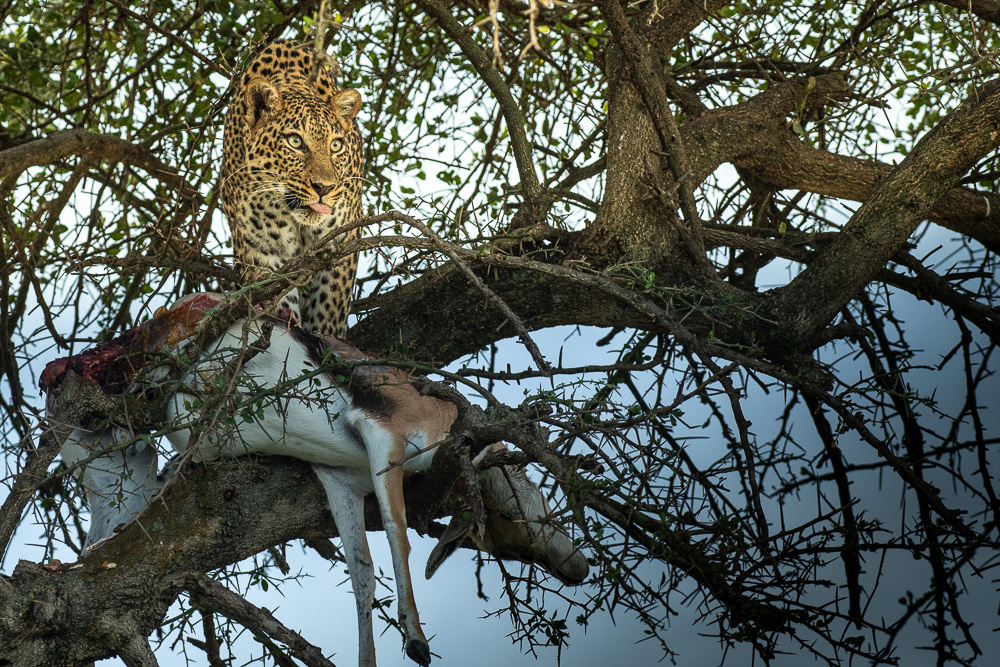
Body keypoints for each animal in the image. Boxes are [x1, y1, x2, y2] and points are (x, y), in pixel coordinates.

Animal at [221, 38, 364, 338]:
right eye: (296, 142)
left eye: (336, 145)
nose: (324, 187)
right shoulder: (258, 248)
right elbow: (272, 293)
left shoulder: (342, 240)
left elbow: (330, 301)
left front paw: (326, 338)